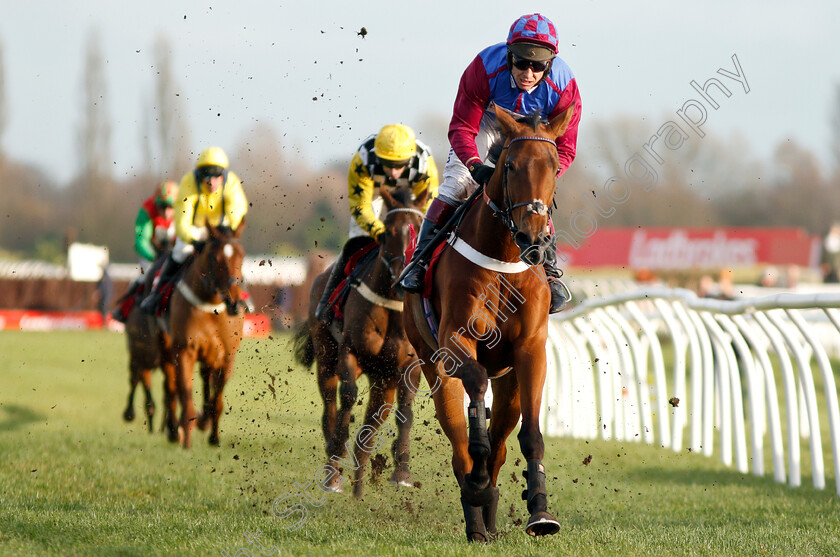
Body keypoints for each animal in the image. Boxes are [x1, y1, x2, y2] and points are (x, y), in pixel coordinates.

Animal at [167, 222, 246, 448]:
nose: (235, 303)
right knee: (171, 387)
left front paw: (213, 436)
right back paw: (175, 431)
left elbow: (216, 401)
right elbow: (186, 397)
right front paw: (186, 439)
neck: (211, 306)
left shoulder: (227, 357)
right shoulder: (184, 350)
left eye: (241, 255)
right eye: (214, 257)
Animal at [296, 187, 426, 496]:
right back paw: (336, 471)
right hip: (326, 359)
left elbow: (404, 412)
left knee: (373, 422)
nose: (403, 278)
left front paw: (401, 472)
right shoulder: (350, 352)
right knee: (330, 411)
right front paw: (334, 461)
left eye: (420, 229)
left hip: (383, 381)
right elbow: (347, 398)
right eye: (389, 232)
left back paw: (360, 479)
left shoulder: (408, 366)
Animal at [404, 103, 576, 540]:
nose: (533, 237)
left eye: (554, 166)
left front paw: (540, 511)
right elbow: (476, 388)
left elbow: (530, 436)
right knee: (460, 448)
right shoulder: (455, 341)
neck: (503, 258)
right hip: (434, 366)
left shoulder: (531, 350)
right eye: (511, 165)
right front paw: (478, 484)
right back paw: (476, 513)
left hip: (510, 383)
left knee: (499, 445)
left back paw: (490, 516)